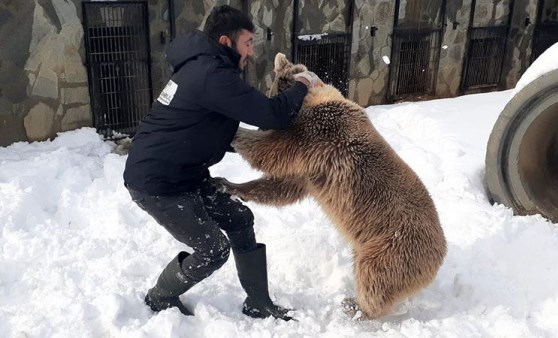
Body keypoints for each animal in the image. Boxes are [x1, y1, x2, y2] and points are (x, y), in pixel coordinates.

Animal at [217, 52, 448, 320]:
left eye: (271, 93)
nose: (261, 125)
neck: (313, 98)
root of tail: (440, 255)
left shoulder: (318, 134)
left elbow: (271, 151)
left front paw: (236, 131)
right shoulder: (308, 170)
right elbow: (281, 187)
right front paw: (227, 184)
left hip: (392, 247)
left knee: (374, 279)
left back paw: (355, 306)